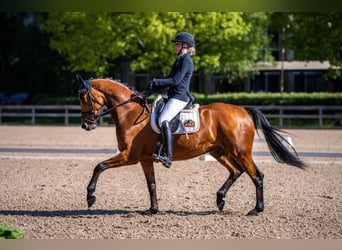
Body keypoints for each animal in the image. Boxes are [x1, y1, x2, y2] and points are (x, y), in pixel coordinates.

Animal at [77, 75, 304, 216]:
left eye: (84, 98)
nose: (86, 125)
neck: (131, 113)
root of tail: (243, 111)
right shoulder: (144, 159)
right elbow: (151, 185)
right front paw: (153, 209)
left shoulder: (128, 156)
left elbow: (99, 166)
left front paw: (90, 196)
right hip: (219, 151)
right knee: (236, 171)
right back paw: (220, 199)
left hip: (239, 152)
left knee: (256, 175)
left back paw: (256, 209)